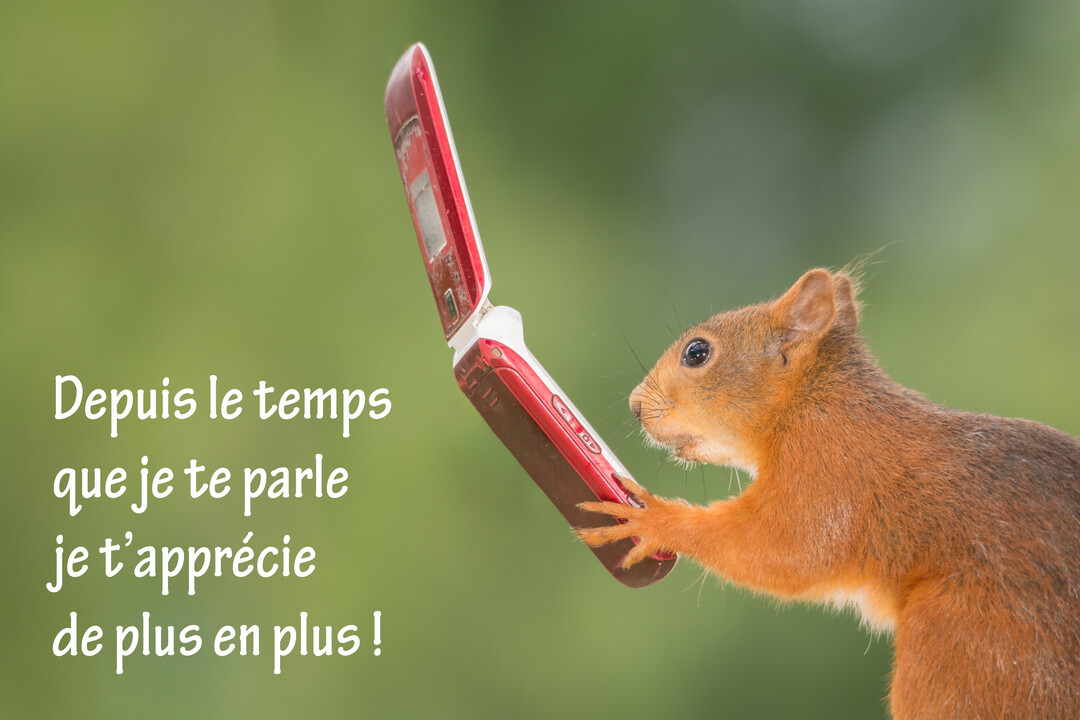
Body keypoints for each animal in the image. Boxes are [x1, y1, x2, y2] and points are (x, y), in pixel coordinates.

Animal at [577, 269, 1080, 720]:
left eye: (697, 353)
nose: (635, 406)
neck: (810, 402)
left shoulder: (830, 471)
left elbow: (787, 548)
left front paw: (654, 519)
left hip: (963, 651)